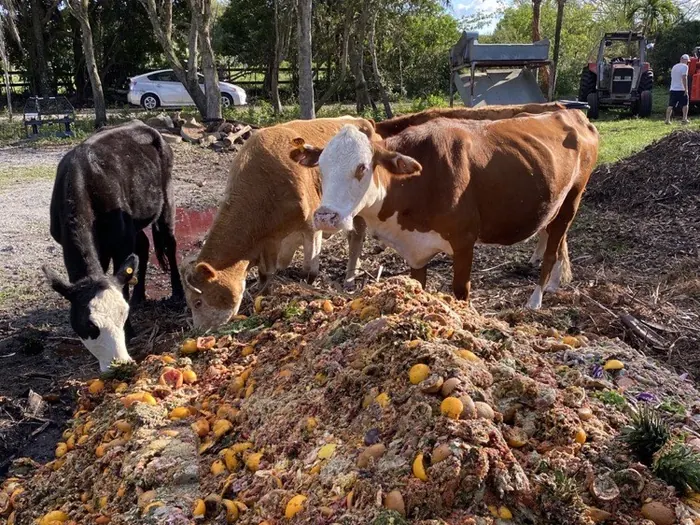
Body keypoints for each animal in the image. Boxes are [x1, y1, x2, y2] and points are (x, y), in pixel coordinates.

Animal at [42, 119, 184, 371]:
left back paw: (177, 291)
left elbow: (122, 280)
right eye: (90, 325)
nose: (121, 363)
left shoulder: (120, 241)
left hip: (166, 197)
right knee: (144, 246)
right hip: (134, 222)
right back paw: (139, 296)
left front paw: (130, 330)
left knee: (169, 242)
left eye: (123, 315)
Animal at [179, 117, 375, 330]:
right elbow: (267, 273)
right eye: (189, 302)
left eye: (198, 302)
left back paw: (349, 280)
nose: (197, 330)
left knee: (356, 239)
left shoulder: (311, 226)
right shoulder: (270, 242)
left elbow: (309, 270)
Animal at [289, 109, 599, 309]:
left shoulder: (464, 242)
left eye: (362, 167)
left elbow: (461, 292)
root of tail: (573, 113)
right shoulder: (416, 251)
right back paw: (555, 283)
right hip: (555, 202)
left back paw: (536, 299)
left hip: (573, 198)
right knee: (556, 238)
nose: (326, 217)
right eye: (321, 167)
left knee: (551, 248)